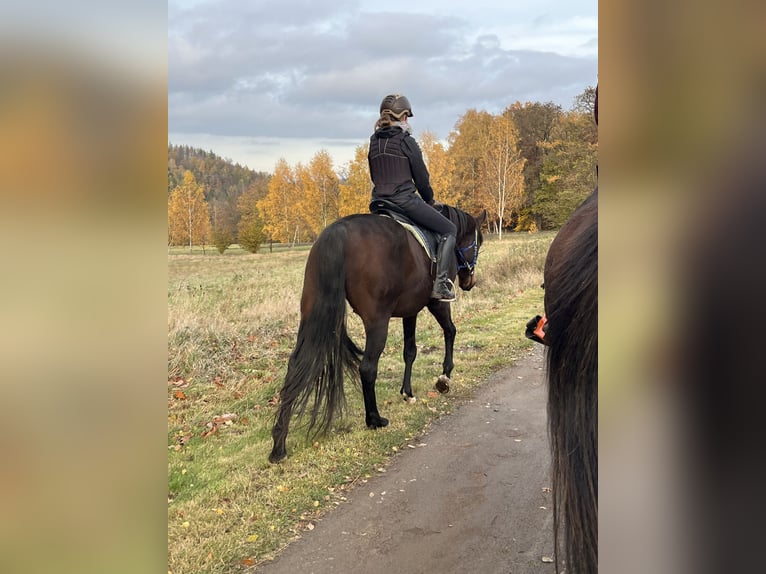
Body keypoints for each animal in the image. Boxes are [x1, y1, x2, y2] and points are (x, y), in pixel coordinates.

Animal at [270, 205, 486, 466]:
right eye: (479, 242)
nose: (469, 282)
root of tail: (337, 232)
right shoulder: (437, 303)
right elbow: (450, 331)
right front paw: (445, 376)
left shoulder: (410, 310)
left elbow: (410, 351)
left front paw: (407, 393)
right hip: (377, 322)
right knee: (367, 368)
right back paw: (374, 419)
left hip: (311, 315)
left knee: (295, 367)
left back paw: (279, 443)